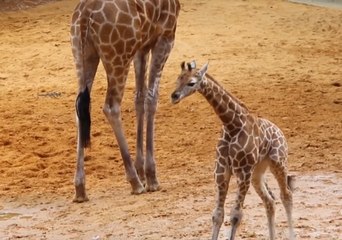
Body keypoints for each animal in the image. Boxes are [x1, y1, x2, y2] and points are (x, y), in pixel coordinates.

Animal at [70, 0, 180, 202]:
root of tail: (85, 13)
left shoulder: (142, 46)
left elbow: (139, 98)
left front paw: (142, 171)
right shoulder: (165, 35)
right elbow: (152, 98)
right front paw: (150, 177)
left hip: (82, 55)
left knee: (80, 110)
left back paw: (80, 189)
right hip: (118, 59)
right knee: (111, 107)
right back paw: (135, 183)